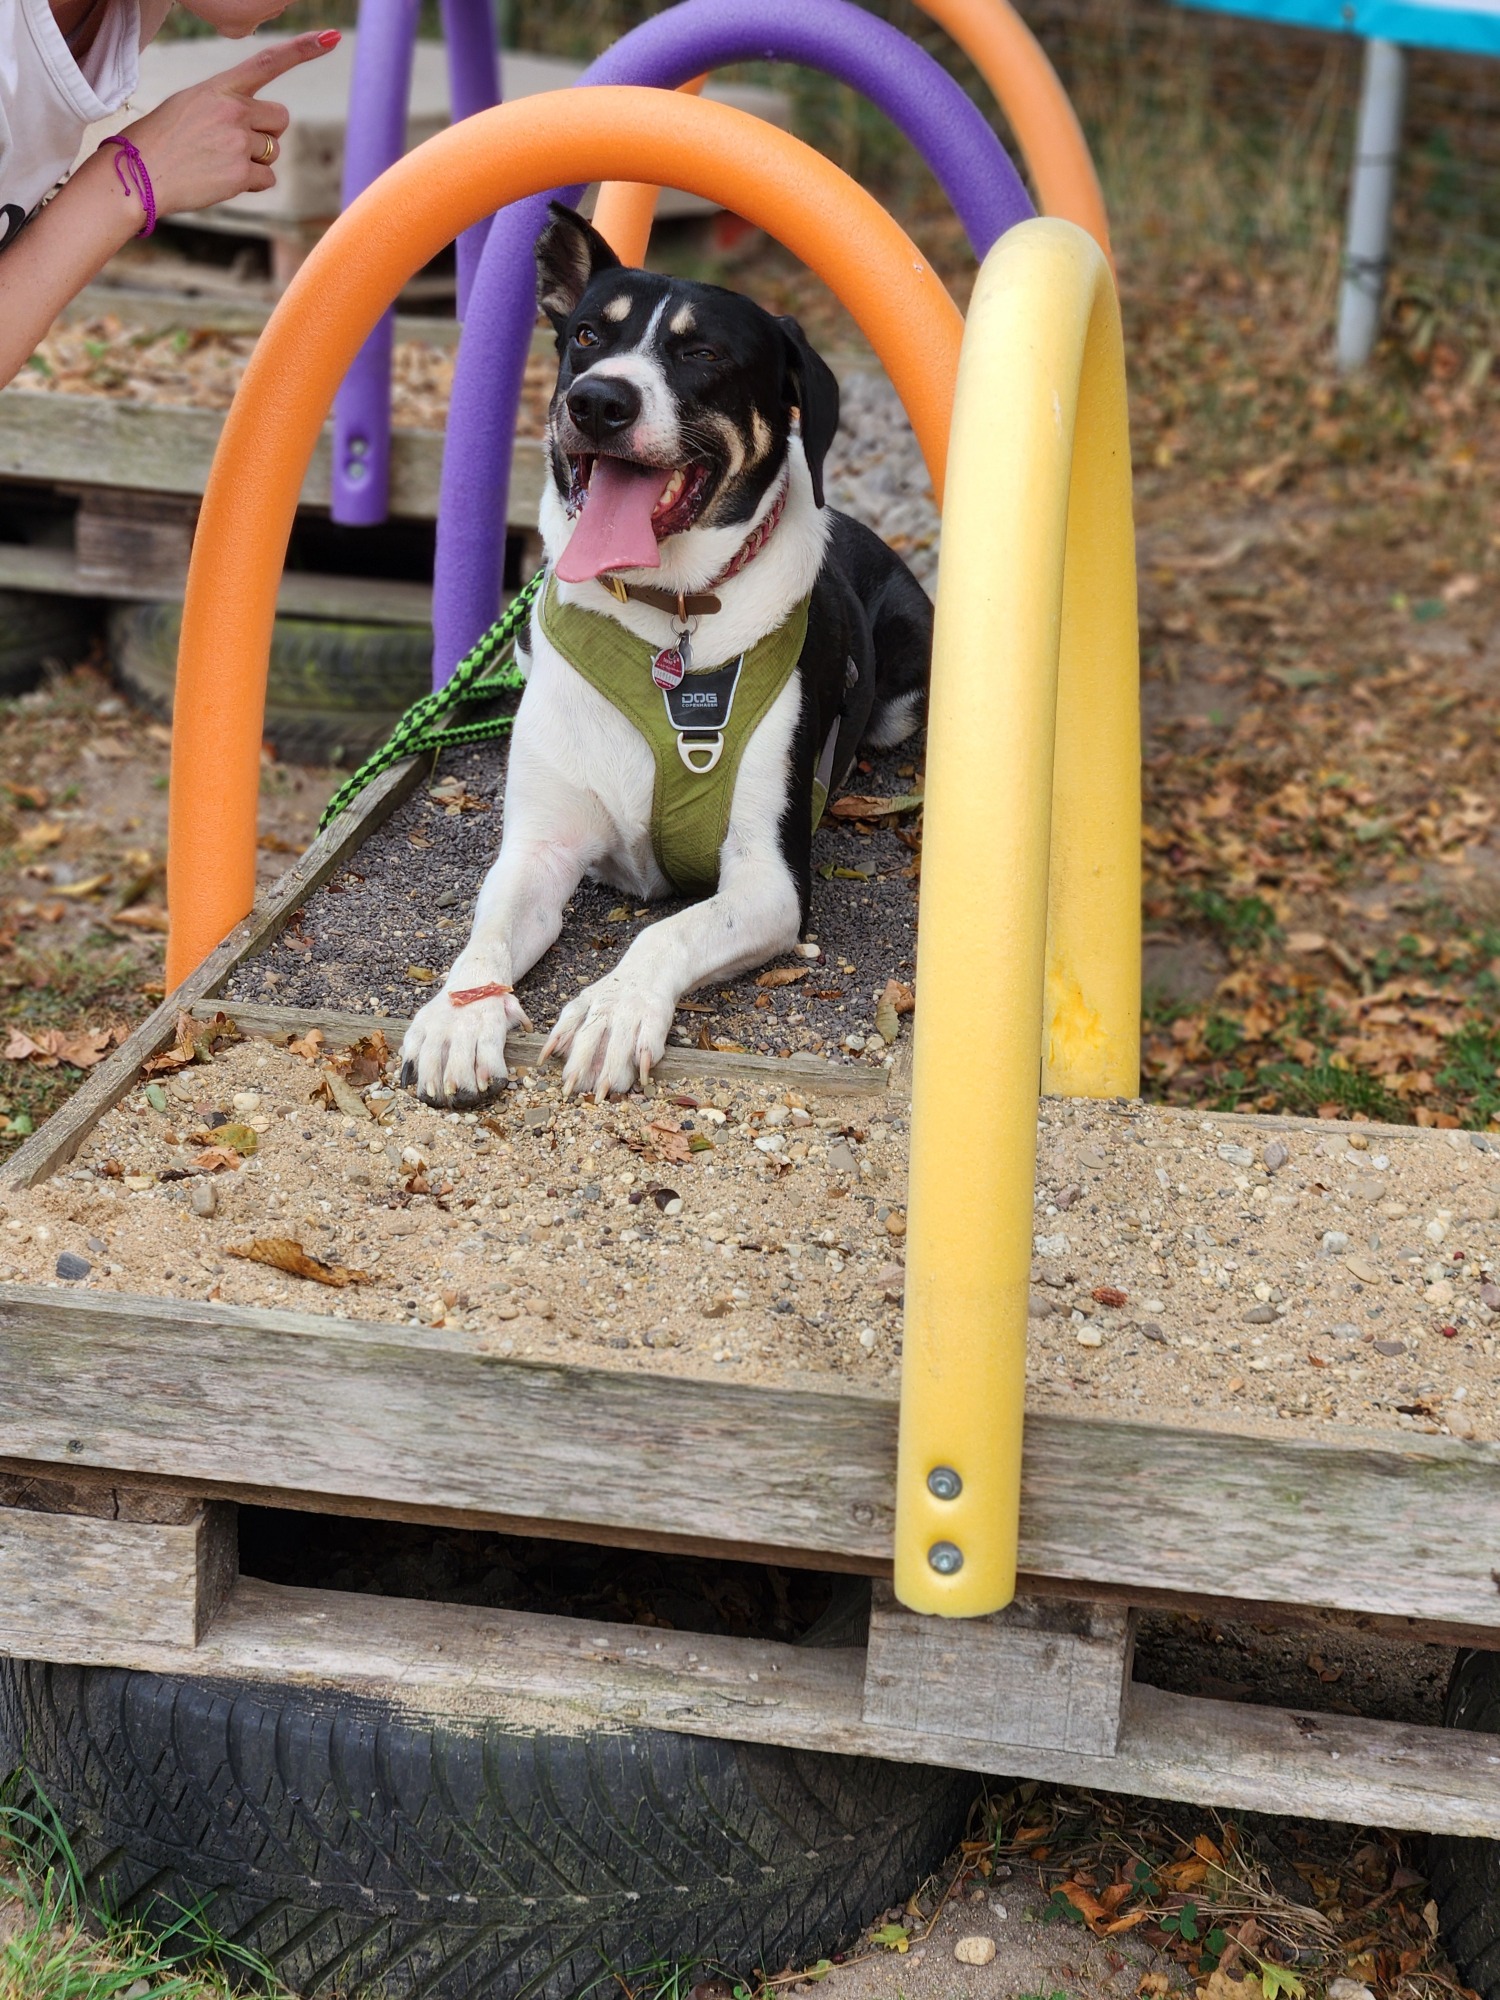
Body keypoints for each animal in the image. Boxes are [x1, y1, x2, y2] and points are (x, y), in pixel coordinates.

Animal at [400, 202, 932, 1105]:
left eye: (703, 353)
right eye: (585, 335)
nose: (597, 401)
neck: (669, 614)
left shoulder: (767, 879)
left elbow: (665, 933)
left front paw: (614, 1010)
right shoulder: (539, 847)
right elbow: (489, 929)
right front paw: (458, 1015)